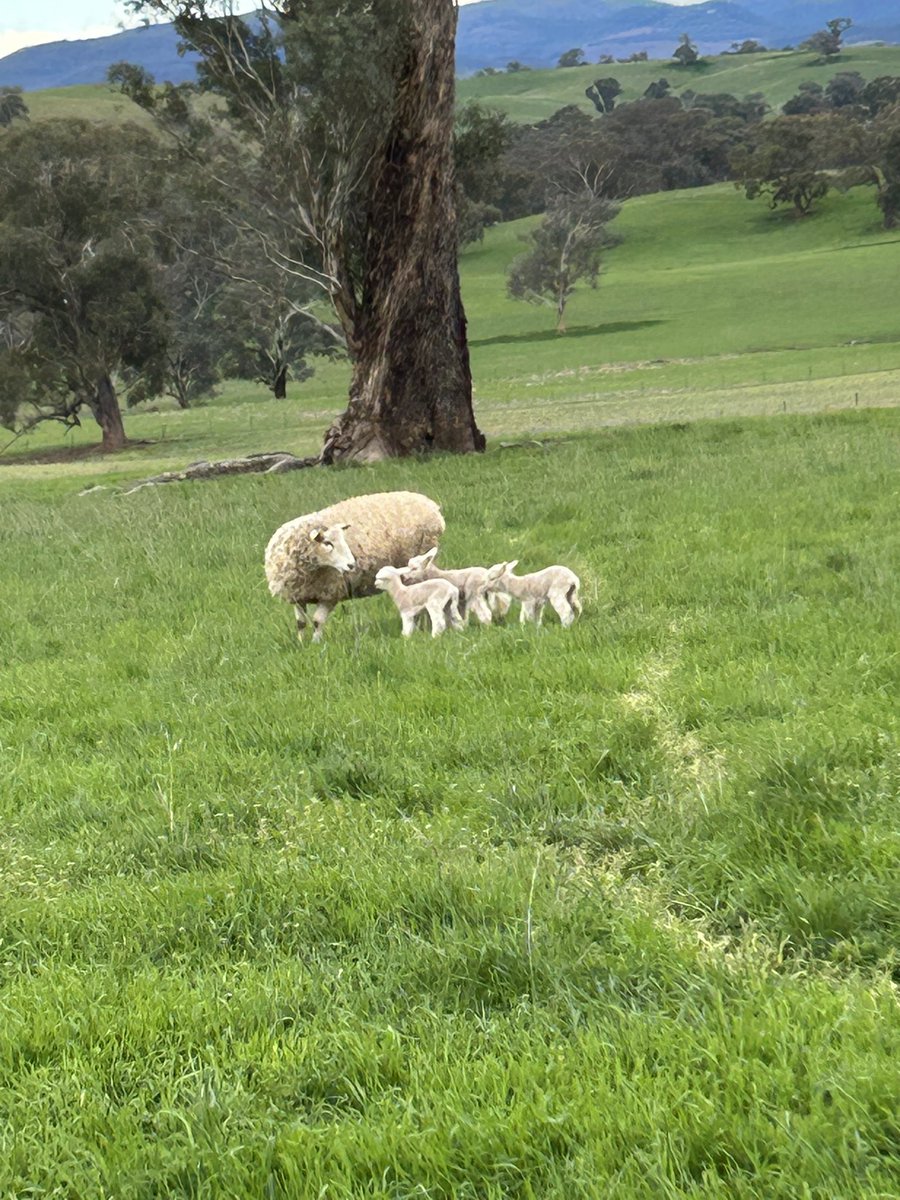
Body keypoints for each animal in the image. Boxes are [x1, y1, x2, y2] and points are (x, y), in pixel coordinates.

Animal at [265, 491, 445, 642]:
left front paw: (316, 645)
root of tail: (432, 506)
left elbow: (317, 621)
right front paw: (302, 644)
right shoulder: (298, 595)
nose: (352, 564)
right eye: (327, 543)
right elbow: (300, 623)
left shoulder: (331, 593)